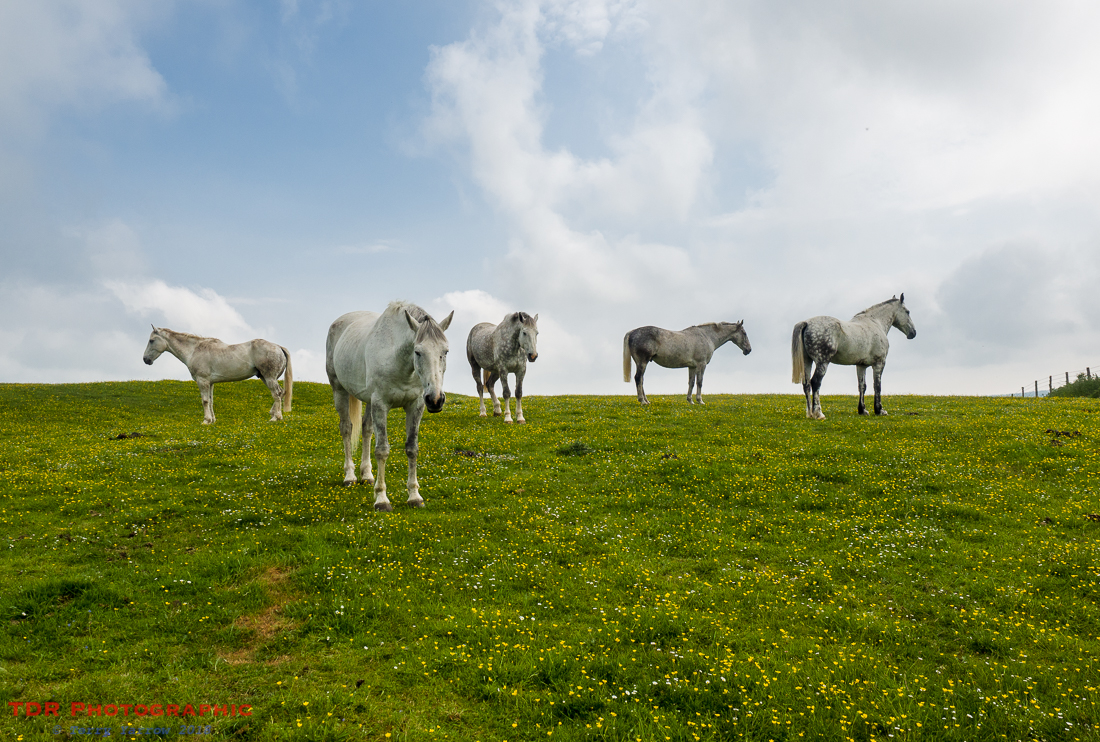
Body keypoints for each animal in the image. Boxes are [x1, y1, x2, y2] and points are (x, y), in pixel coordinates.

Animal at [142, 326, 293, 424]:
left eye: (151, 340)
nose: (145, 359)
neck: (194, 350)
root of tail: (278, 347)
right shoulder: (210, 383)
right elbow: (211, 400)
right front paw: (212, 420)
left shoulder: (202, 381)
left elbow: (204, 401)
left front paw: (206, 420)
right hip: (264, 377)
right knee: (281, 392)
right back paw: (273, 413)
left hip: (269, 377)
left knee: (277, 394)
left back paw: (276, 417)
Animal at [326, 301, 454, 511]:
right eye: (418, 352)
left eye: (445, 352)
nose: (435, 399)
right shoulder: (381, 404)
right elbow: (382, 450)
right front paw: (381, 500)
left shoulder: (415, 405)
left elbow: (412, 448)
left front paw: (414, 497)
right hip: (340, 390)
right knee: (346, 429)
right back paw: (350, 476)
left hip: (368, 400)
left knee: (366, 430)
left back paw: (367, 475)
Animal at [623, 321, 751, 405]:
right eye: (744, 333)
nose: (748, 350)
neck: (707, 336)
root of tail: (632, 332)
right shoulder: (701, 365)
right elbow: (700, 382)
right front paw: (700, 400)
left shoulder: (692, 367)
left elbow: (691, 382)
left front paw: (690, 401)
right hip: (642, 362)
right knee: (638, 378)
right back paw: (642, 401)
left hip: (641, 363)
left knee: (641, 380)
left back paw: (646, 400)